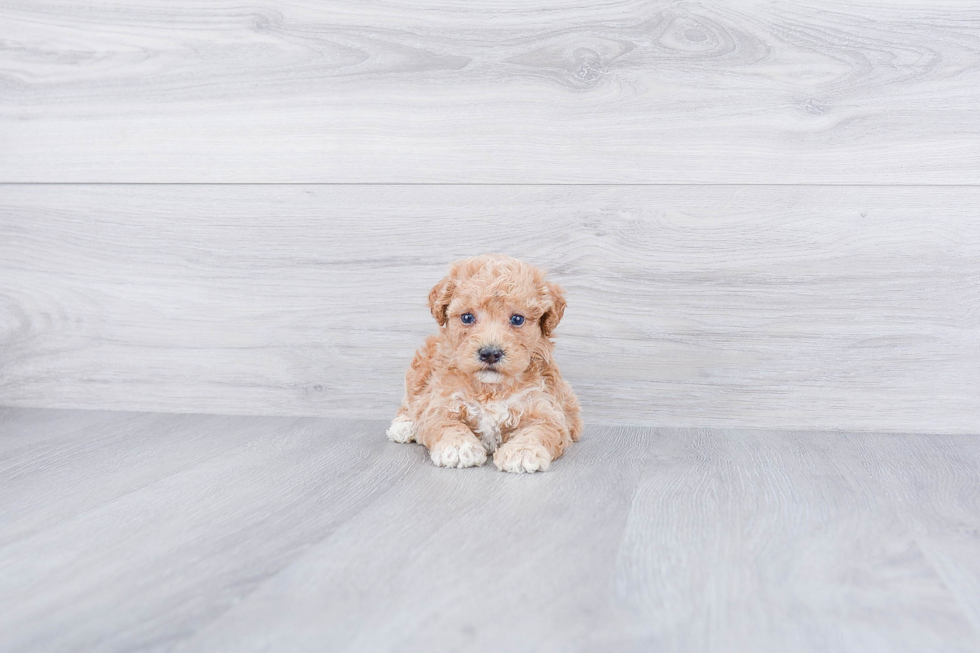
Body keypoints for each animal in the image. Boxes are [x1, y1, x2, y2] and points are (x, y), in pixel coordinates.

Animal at [384, 252, 580, 472]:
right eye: (467, 317)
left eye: (517, 319)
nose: (490, 353)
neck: (491, 388)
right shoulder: (441, 403)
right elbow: (446, 423)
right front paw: (459, 447)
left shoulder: (547, 409)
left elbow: (539, 430)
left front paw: (522, 451)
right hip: (419, 370)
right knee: (411, 402)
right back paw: (405, 425)